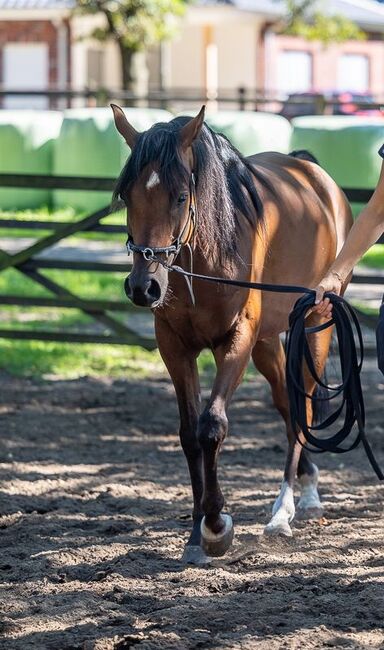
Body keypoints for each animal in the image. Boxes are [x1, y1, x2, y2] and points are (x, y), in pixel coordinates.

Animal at [110, 105, 352, 560]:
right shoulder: (175, 346)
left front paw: (216, 525)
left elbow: (212, 427)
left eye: (180, 197)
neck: (204, 260)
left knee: (303, 407)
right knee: (287, 403)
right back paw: (305, 489)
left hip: (315, 326)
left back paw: (285, 511)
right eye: (127, 197)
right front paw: (194, 533)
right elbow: (189, 433)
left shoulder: (235, 341)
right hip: (268, 342)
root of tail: (315, 175)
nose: (142, 287)